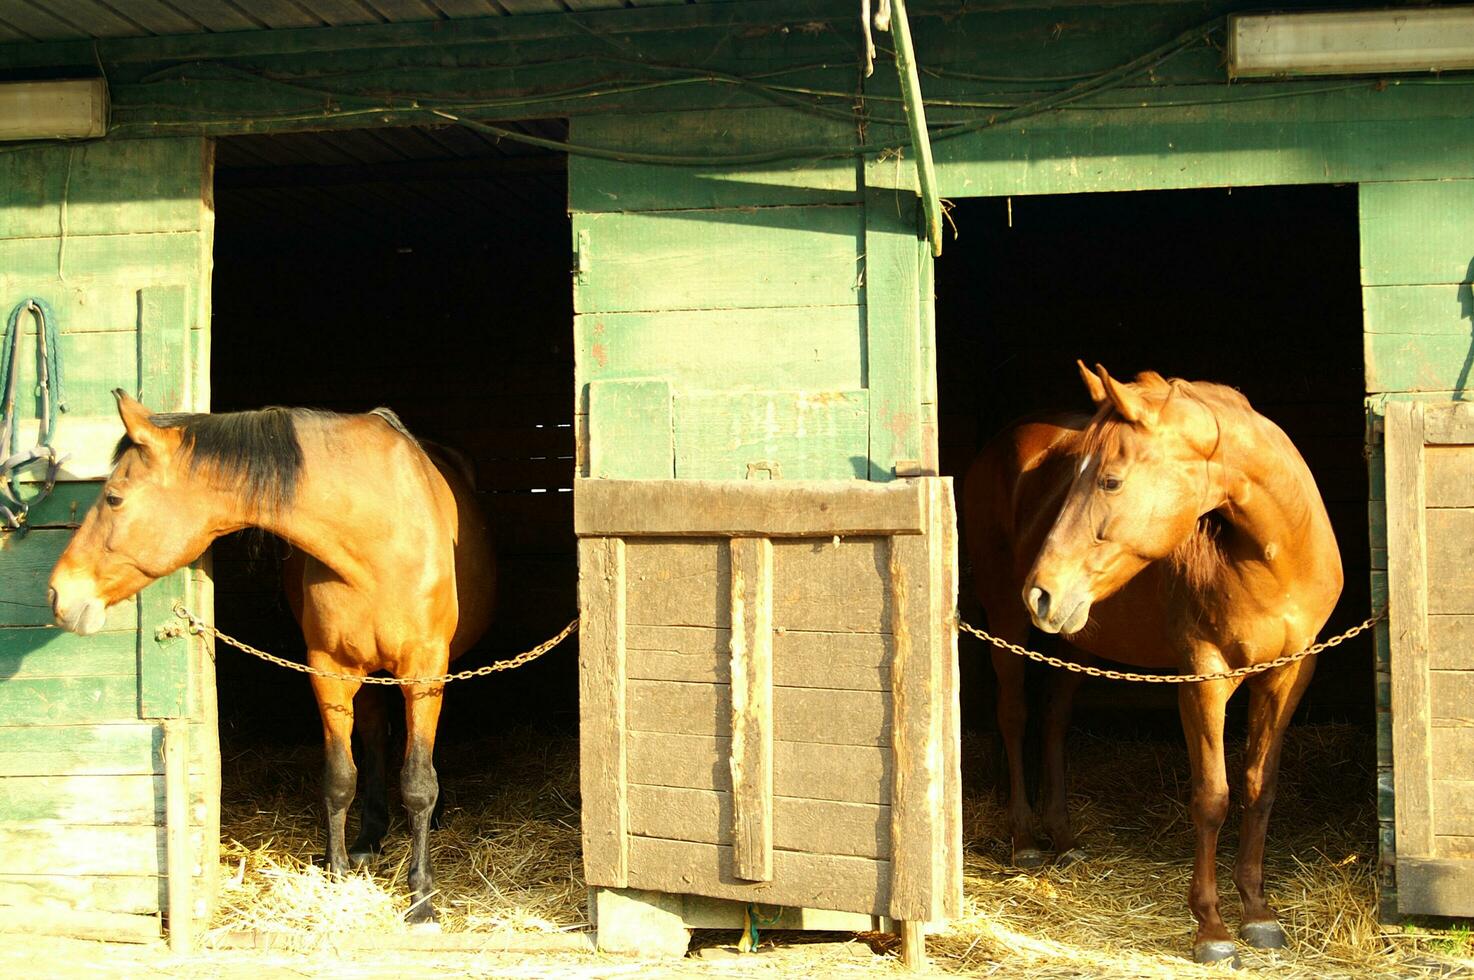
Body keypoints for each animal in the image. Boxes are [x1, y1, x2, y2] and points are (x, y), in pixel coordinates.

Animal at [50, 389, 495, 925]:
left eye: (114, 497)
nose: (59, 592)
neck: (379, 536)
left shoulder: (424, 672)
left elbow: (417, 783)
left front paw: (422, 899)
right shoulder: (329, 670)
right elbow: (339, 775)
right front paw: (337, 874)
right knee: (373, 740)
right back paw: (368, 838)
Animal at [966, 361, 1350, 960]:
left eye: (1110, 480)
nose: (1042, 592)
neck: (1272, 555)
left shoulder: (1289, 674)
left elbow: (1260, 787)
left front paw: (1258, 912)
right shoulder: (1204, 678)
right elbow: (1213, 796)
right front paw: (1212, 928)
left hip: (1075, 639)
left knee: (1054, 722)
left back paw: (1065, 838)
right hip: (1007, 625)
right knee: (1014, 718)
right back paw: (1026, 841)